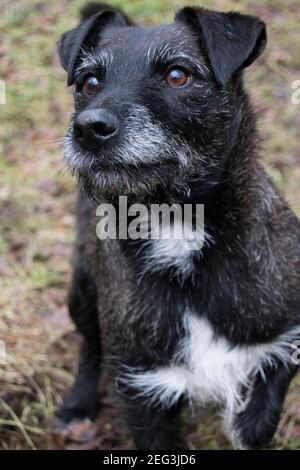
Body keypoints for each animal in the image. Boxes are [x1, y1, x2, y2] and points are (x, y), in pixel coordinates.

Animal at [54, 2, 300, 452]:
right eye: (88, 82)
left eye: (177, 75)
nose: (87, 128)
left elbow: (256, 424)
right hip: (82, 288)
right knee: (90, 346)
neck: (177, 227)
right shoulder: (141, 388)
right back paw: (77, 404)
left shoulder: (282, 343)